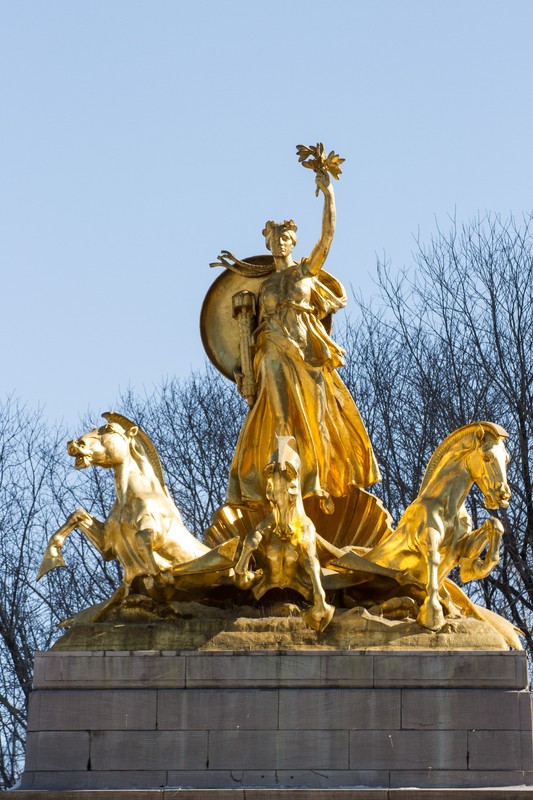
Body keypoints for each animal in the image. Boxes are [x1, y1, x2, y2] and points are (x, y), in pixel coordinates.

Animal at [366, 422, 512, 636]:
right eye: (486, 457)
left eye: (506, 459)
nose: (503, 495)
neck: (447, 506)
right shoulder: (428, 537)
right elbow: (433, 562)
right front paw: (432, 616)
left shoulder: (458, 545)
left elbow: (494, 524)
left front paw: (475, 567)